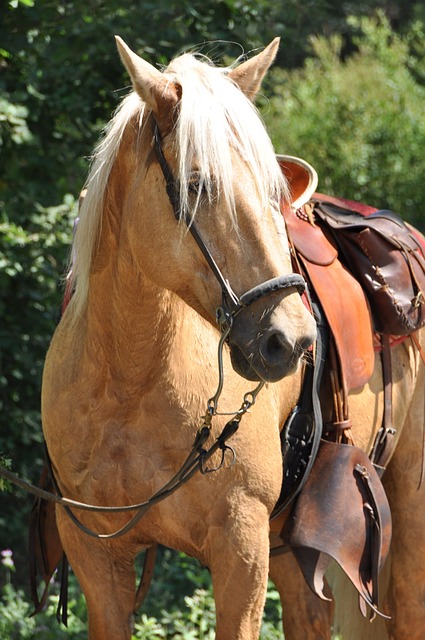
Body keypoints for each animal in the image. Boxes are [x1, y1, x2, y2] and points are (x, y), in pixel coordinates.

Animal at [39, 36, 424, 640]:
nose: (292, 340)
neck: (129, 384)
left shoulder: (240, 553)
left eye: (273, 193)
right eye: (197, 185)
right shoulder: (97, 562)